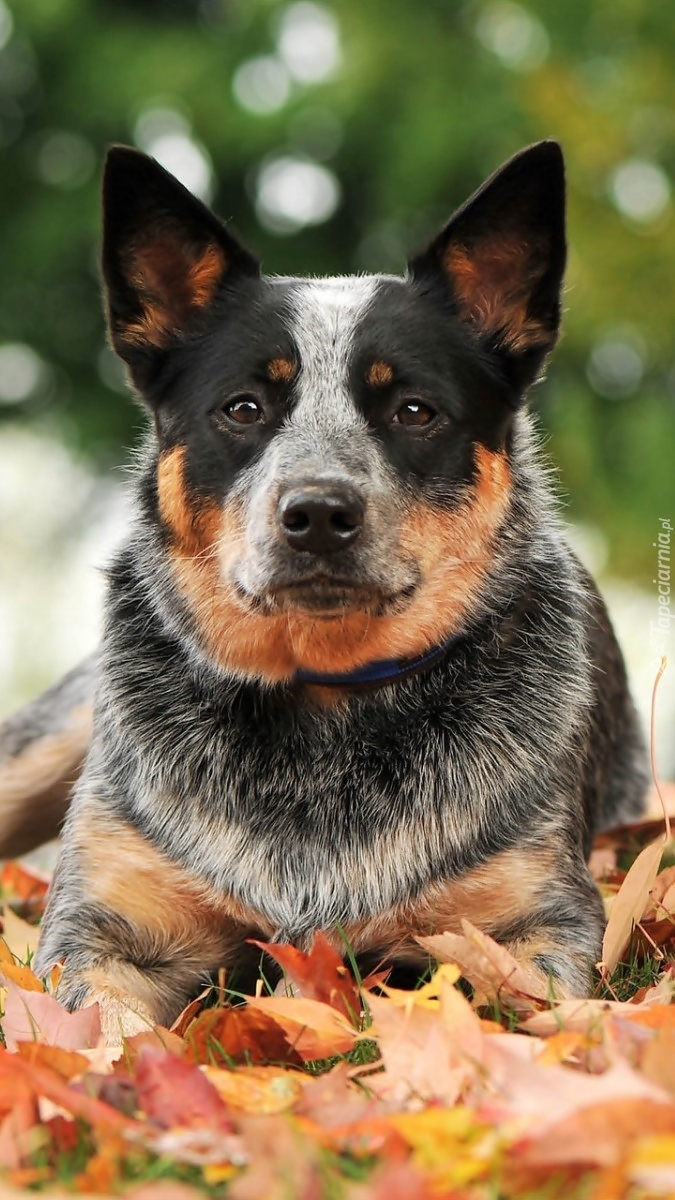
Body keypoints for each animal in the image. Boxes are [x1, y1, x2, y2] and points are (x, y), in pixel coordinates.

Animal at [0, 138, 643, 1041]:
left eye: (414, 410)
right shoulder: (105, 930)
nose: (317, 512)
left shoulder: (533, 925)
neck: (322, 707)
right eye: (242, 407)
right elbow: (104, 1038)